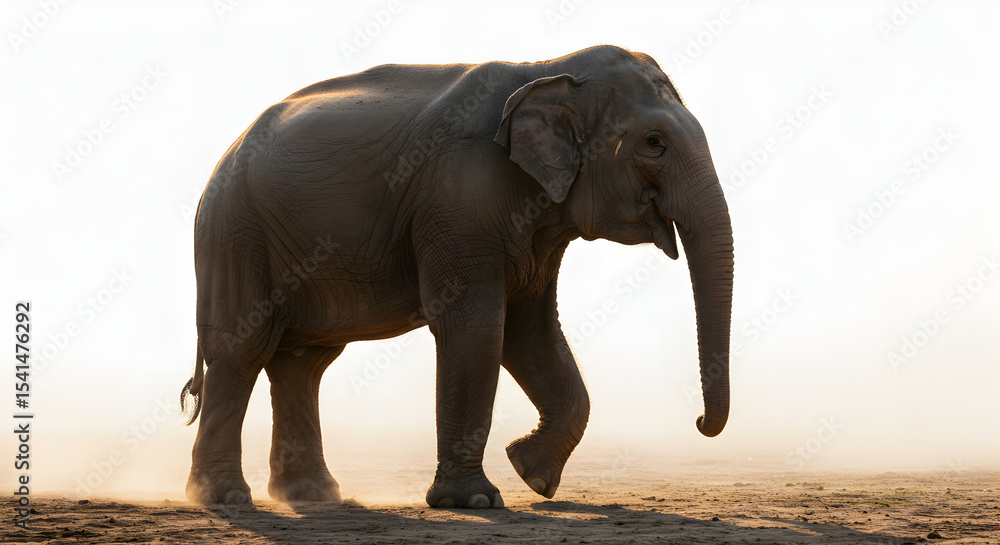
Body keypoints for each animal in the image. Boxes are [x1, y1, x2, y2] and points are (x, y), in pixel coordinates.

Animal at [180, 45, 734, 509]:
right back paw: (224, 498)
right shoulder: (460, 194)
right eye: (653, 143)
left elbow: (530, 332)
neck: (547, 68)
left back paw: (314, 496)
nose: (699, 421)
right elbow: (477, 326)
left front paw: (531, 474)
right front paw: (476, 501)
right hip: (235, 231)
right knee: (243, 348)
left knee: (303, 363)